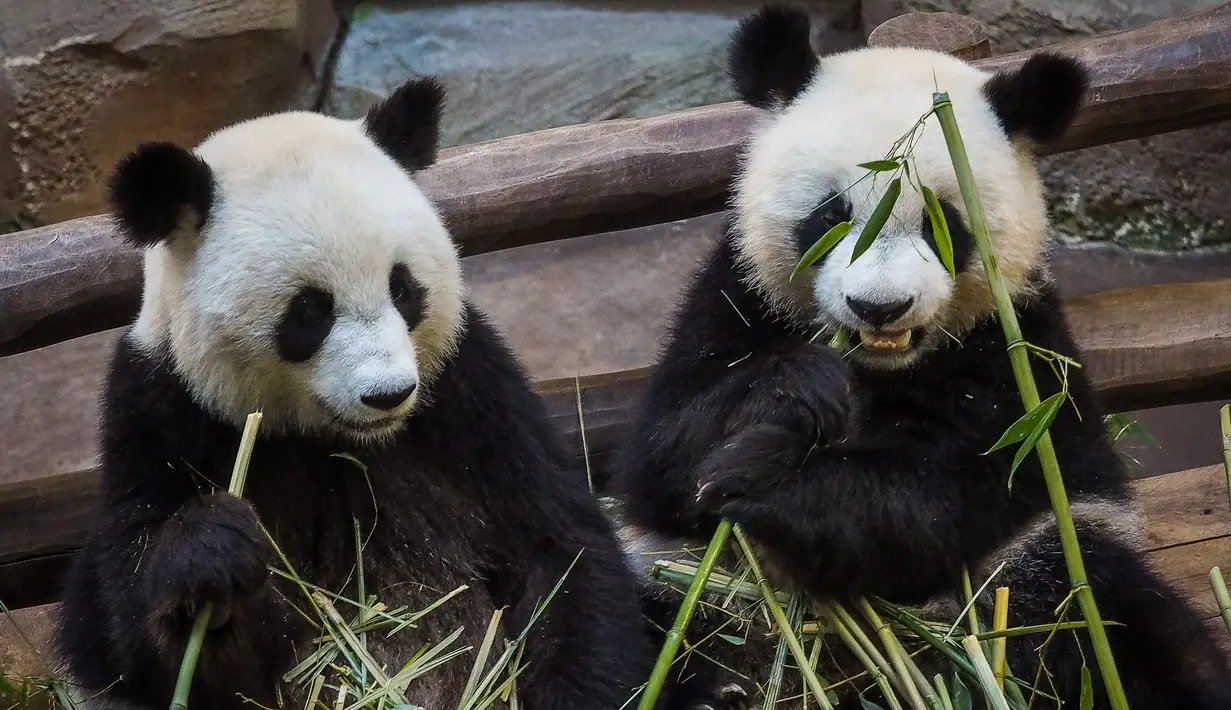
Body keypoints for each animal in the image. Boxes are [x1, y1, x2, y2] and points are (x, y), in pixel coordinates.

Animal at [51, 77, 672, 710]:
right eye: (309, 312)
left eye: (403, 288)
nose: (388, 394)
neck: (340, 440)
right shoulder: (161, 413)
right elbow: (125, 624)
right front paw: (212, 554)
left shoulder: (473, 393)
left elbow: (561, 553)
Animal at [609, 5, 1231, 709]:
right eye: (832, 215)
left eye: (943, 223)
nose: (879, 308)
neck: (877, 368)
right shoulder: (738, 295)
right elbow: (660, 454)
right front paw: (793, 393)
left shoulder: (1014, 355)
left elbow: (946, 493)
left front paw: (763, 479)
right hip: (678, 587)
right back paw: (714, 687)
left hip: (1040, 569)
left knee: (1119, 622)